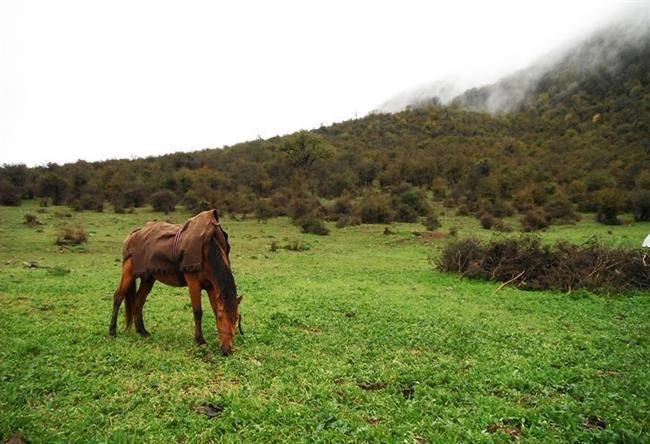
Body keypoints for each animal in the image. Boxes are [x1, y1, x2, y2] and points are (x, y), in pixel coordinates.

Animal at [107, 209, 242, 358]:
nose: (226, 350)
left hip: (148, 278)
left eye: (236, 318)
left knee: (138, 301)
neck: (208, 249)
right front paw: (200, 340)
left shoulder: (211, 286)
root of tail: (133, 234)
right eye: (221, 317)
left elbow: (213, 308)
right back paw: (112, 331)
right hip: (128, 274)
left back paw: (142, 331)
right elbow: (198, 312)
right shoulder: (194, 283)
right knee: (118, 297)